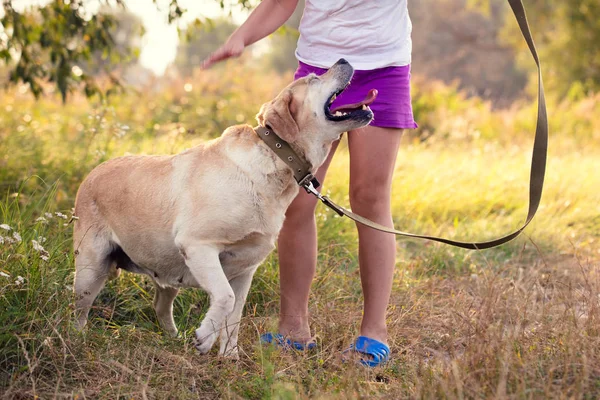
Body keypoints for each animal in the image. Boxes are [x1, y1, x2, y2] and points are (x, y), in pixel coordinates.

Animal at [74, 58, 376, 356]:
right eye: (314, 78)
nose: (344, 59)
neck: (276, 159)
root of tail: (91, 174)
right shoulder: (198, 246)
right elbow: (225, 298)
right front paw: (205, 337)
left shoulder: (245, 269)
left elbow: (235, 317)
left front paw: (229, 357)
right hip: (91, 267)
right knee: (78, 311)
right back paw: (78, 339)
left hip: (165, 271)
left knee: (160, 306)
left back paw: (173, 338)